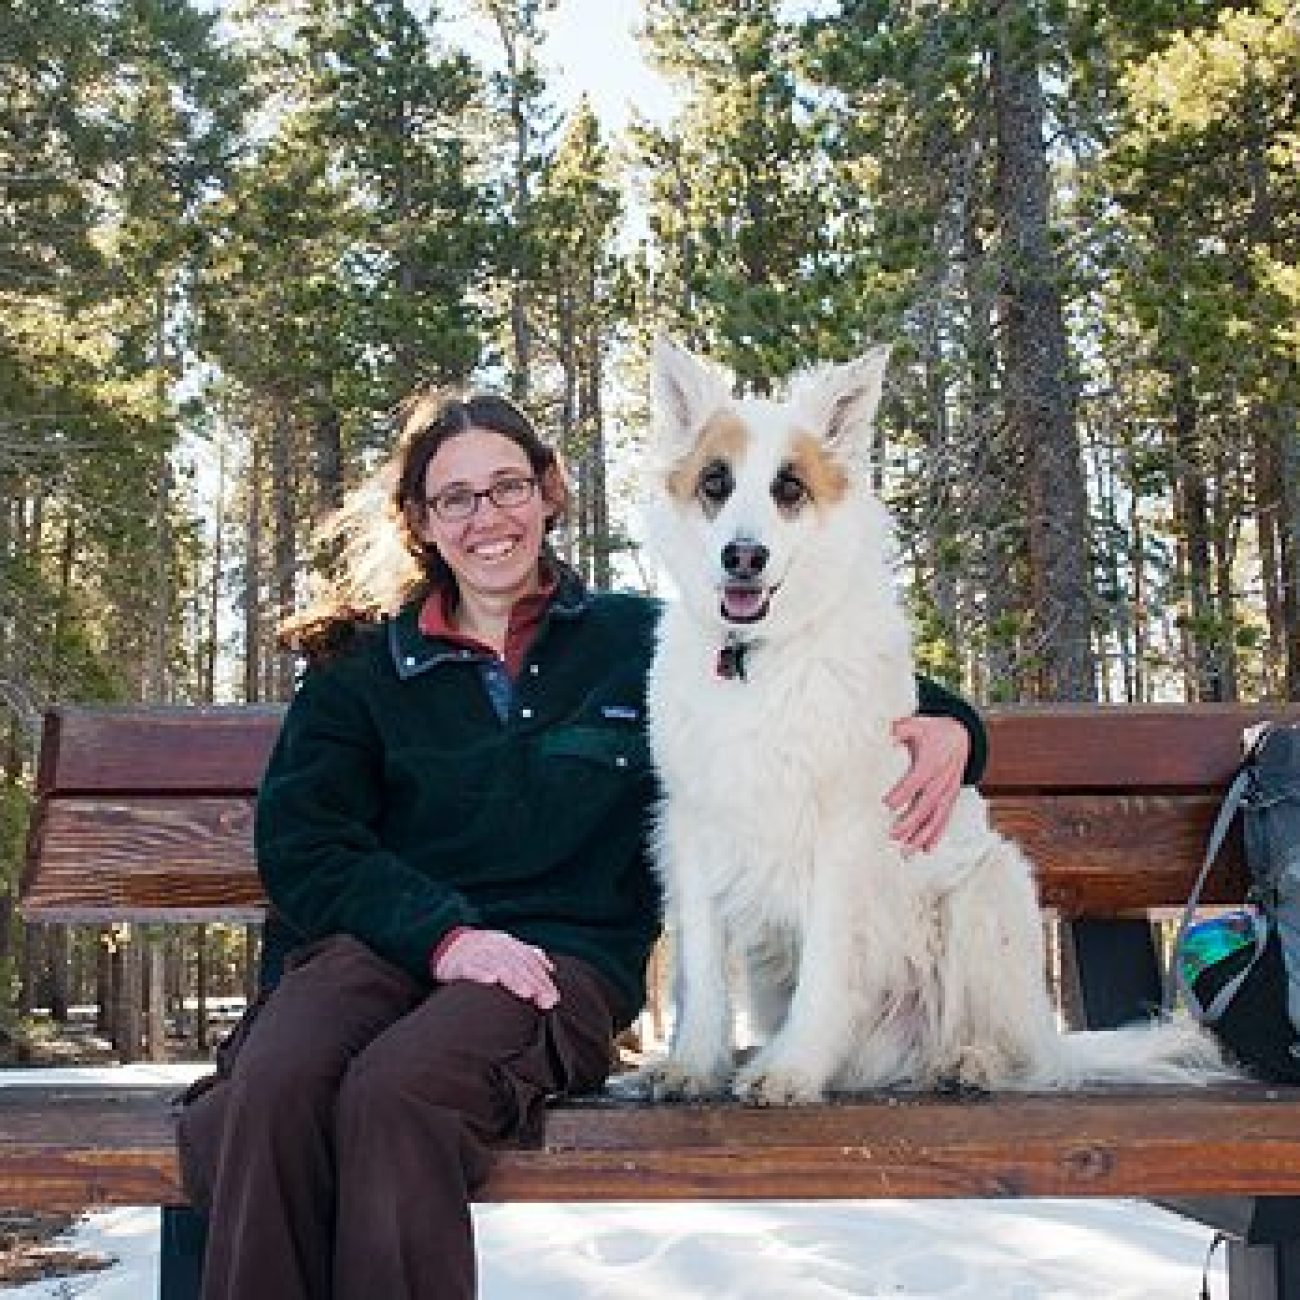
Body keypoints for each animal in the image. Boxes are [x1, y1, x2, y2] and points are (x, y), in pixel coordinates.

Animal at [639, 340, 1227, 1102]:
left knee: (1022, 1054)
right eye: (716, 482)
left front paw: (793, 1069)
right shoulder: (694, 827)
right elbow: (705, 972)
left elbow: (825, 967)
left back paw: (971, 1063)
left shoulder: (843, 838)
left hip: (987, 892)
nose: (744, 556)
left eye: (788, 489)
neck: (758, 660)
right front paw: (694, 1062)